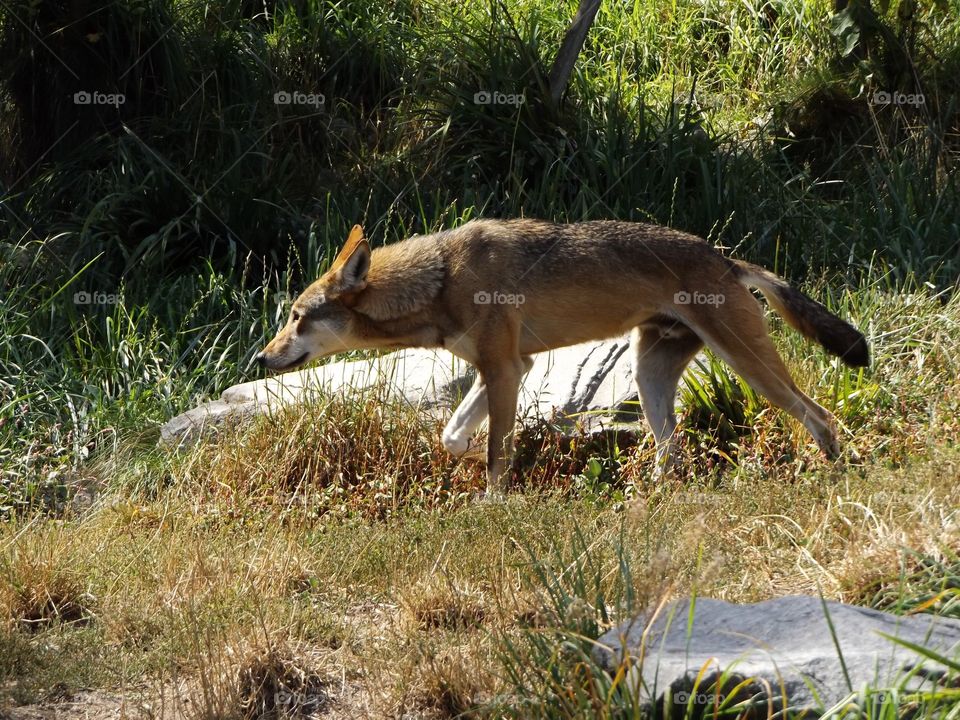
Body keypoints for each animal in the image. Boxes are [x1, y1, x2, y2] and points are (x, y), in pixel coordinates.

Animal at [255, 220, 869, 496]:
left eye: (298, 317)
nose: (262, 359)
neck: (440, 281)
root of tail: (725, 259)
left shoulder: (504, 369)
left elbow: (496, 454)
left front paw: (493, 501)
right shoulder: (505, 370)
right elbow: (455, 437)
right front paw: (486, 457)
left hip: (750, 370)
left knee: (819, 416)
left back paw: (838, 475)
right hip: (651, 379)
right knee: (674, 453)